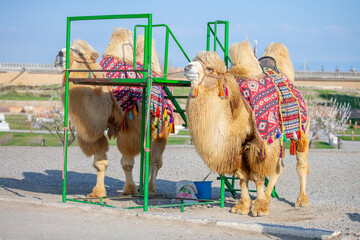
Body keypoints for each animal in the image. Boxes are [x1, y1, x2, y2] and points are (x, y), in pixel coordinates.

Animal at [183, 41, 310, 218]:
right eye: (194, 60)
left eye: (209, 68)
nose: (187, 67)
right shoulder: (237, 145)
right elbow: (242, 176)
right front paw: (243, 206)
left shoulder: (259, 142)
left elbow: (257, 176)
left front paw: (260, 208)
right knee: (279, 167)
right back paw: (268, 197)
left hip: (303, 130)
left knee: (301, 164)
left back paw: (301, 200)